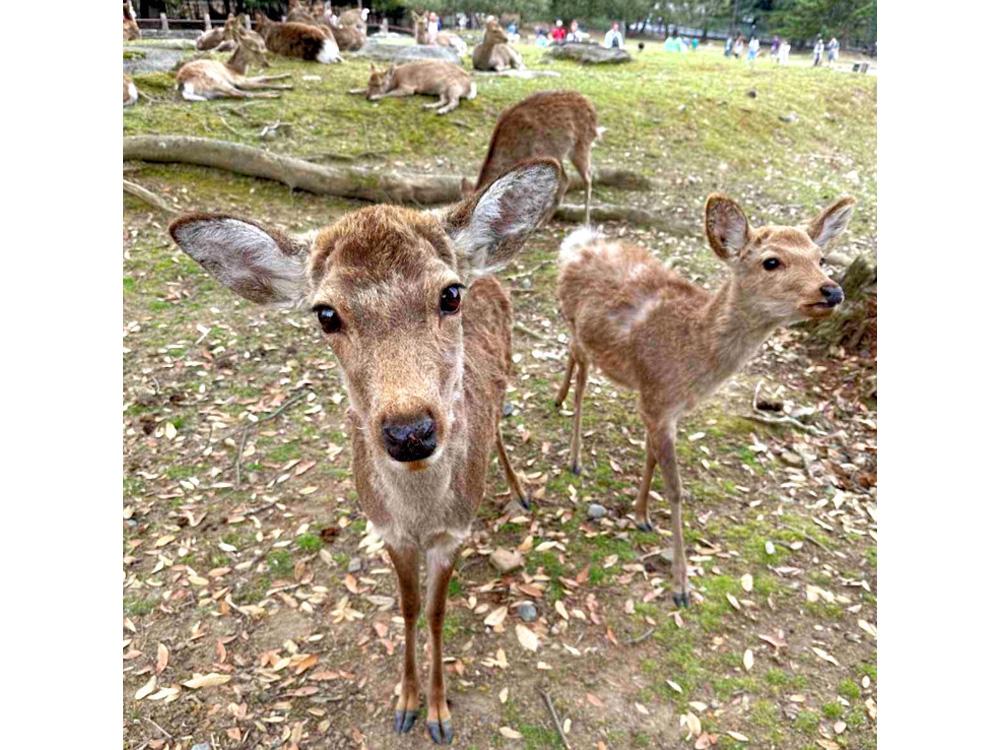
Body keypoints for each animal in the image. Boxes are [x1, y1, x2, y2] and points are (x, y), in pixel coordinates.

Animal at [169, 159, 566, 745]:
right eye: (326, 313)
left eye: (450, 294)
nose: (410, 431)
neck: (421, 517)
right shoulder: (388, 530)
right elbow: (408, 608)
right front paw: (407, 703)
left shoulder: (454, 533)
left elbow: (437, 612)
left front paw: (439, 713)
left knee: (497, 424)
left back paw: (518, 491)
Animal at [470, 90, 603, 225]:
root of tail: (593, 112)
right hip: (558, 152)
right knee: (566, 180)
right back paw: (544, 221)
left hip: (581, 145)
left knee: (587, 178)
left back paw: (585, 221)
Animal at [554, 194, 855, 607]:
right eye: (771, 261)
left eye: (821, 258)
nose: (832, 291)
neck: (692, 357)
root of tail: (578, 241)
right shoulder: (656, 399)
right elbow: (676, 490)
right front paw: (681, 586)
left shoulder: (664, 407)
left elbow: (650, 458)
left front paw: (641, 515)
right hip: (573, 322)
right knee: (583, 380)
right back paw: (574, 456)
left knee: (571, 357)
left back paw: (559, 398)